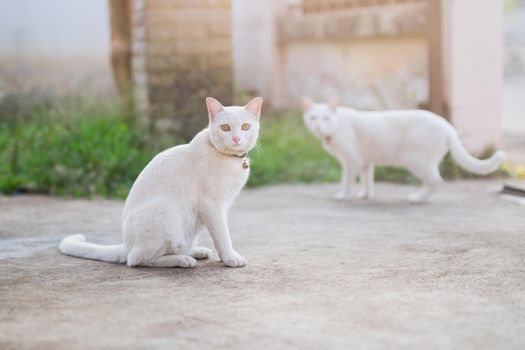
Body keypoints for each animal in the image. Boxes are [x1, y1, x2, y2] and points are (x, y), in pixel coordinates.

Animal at [59, 97, 264, 266]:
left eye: (245, 127)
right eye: (225, 128)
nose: (236, 138)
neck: (231, 160)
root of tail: (126, 244)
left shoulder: (223, 204)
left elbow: (220, 232)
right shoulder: (212, 205)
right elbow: (222, 235)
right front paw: (230, 258)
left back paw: (194, 252)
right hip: (166, 209)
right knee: (137, 259)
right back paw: (182, 260)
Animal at [300, 97, 506, 204]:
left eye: (325, 118)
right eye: (313, 118)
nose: (317, 126)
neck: (336, 126)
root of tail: (447, 125)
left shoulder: (352, 162)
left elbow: (347, 181)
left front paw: (344, 195)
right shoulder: (366, 163)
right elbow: (367, 181)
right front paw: (366, 195)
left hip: (415, 160)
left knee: (436, 181)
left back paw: (417, 198)